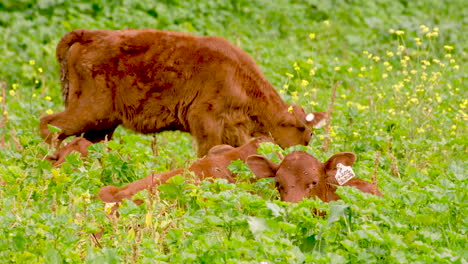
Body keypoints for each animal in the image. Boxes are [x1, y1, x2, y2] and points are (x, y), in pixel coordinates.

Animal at [39, 28, 326, 157]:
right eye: (304, 131)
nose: (306, 147)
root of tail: (90, 35)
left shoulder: (234, 131)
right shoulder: (206, 124)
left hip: (103, 123)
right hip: (89, 111)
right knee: (49, 124)